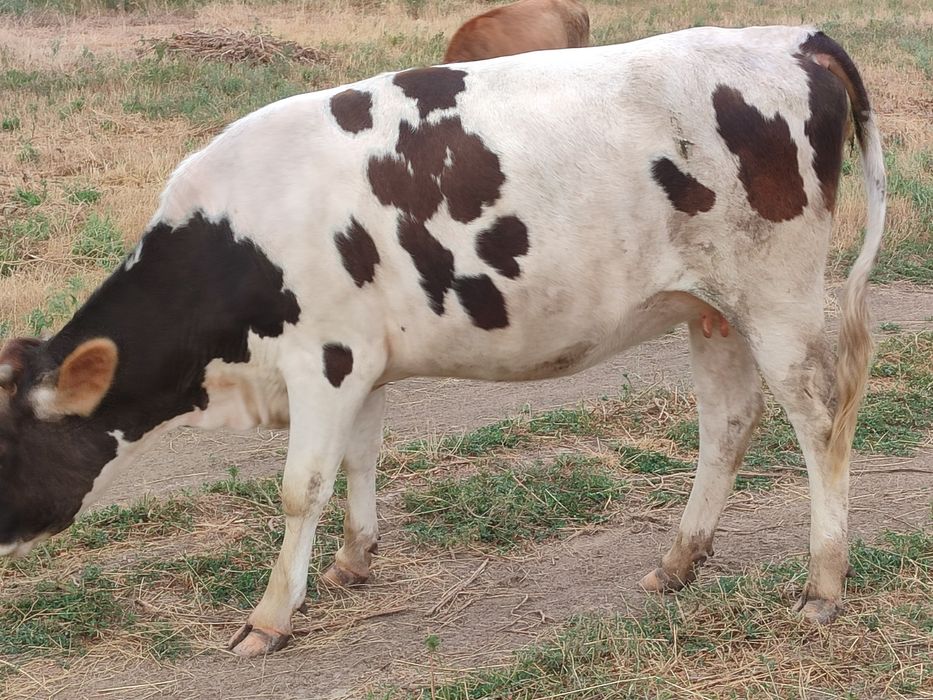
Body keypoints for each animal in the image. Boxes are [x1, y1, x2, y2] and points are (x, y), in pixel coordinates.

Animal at [0, 26, 884, 659]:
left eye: (8, 446)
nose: (4, 537)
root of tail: (794, 36)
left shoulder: (323, 359)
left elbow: (300, 487)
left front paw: (270, 617)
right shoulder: (361, 361)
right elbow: (360, 459)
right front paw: (354, 562)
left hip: (776, 296)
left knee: (817, 417)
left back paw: (822, 584)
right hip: (713, 308)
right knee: (726, 421)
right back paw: (677, 561)